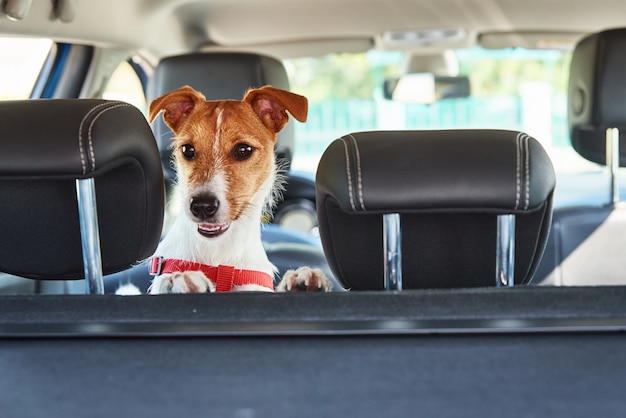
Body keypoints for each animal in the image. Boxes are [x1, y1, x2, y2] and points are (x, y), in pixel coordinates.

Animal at [145, 85, 332, 294]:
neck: (221, 263)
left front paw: (301, 280)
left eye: (243, 150)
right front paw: (181, 279)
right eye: (187, 150)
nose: (202, 206)